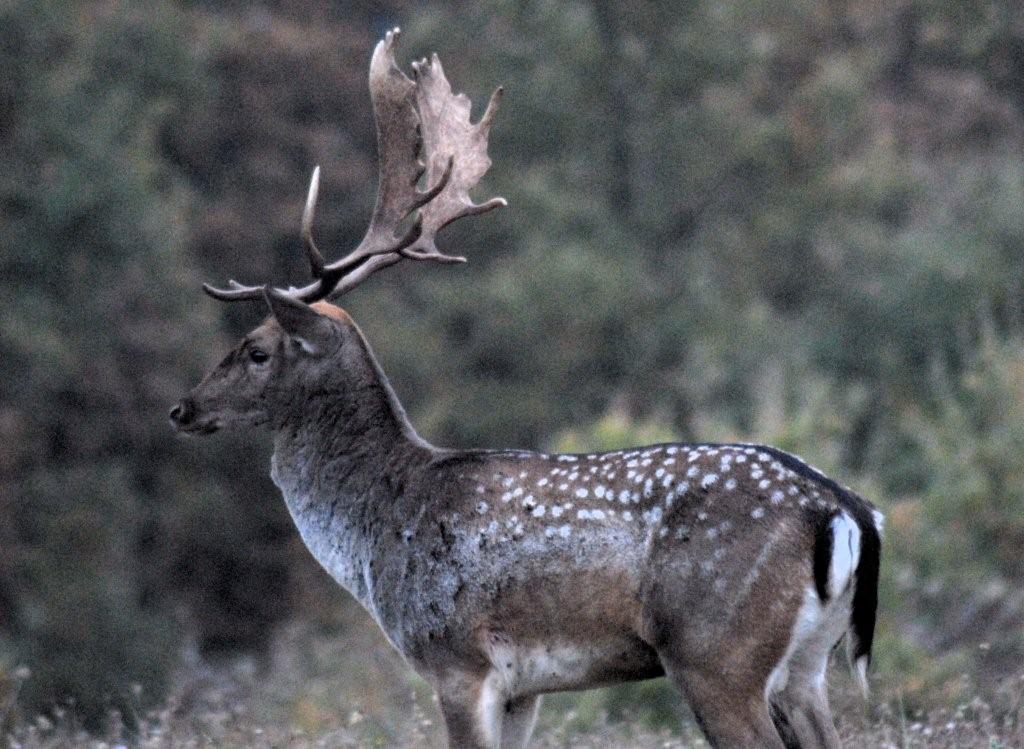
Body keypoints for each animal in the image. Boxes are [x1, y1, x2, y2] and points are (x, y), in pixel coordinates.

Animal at [172, 27, 884, 745]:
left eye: (257, 350)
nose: (182, 408)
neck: (379, 534)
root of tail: (846, 510)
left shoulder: (456, 657)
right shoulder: (525, 689)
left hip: (715, 650)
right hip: (807, 664)